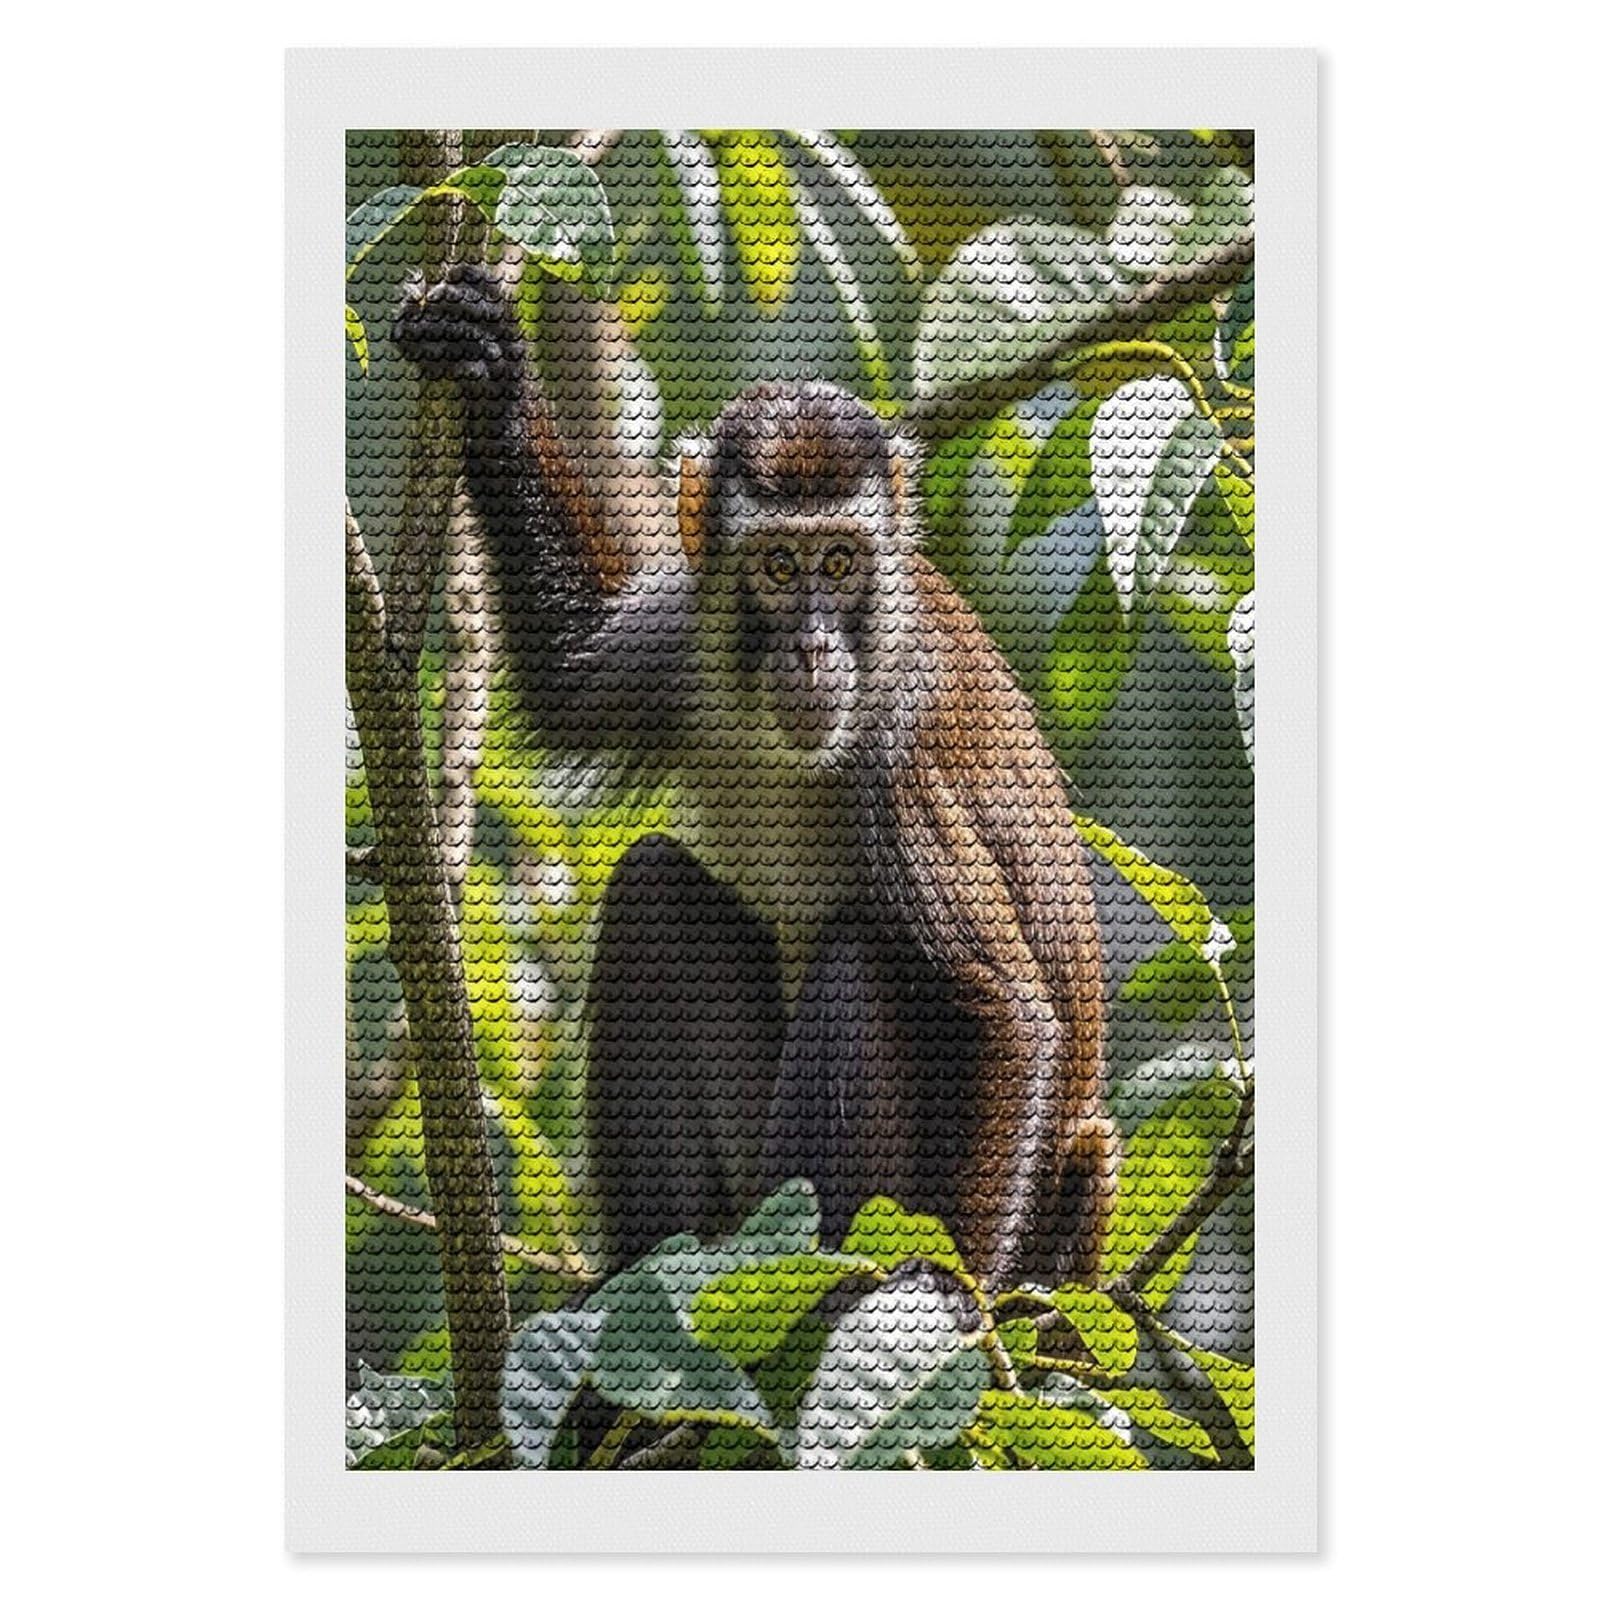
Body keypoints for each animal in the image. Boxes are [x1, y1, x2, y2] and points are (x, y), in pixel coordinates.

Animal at [394, 263, 1116, 1290]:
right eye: (778, 566)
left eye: (842, 561)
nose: (811, 650)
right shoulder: (690, 632)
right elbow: (573, 672)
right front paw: (490, 367)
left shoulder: (894, 738)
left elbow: (1007, 1013)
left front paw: (944, 1306)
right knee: (653, 891)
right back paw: (647, 1277)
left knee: (861, 958)